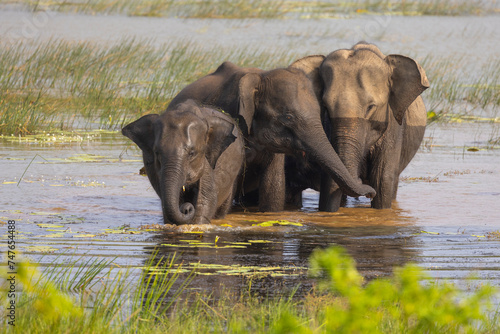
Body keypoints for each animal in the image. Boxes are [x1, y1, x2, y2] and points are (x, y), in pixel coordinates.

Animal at [292, 41, 430, 209]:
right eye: (325, 107)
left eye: (370, 107)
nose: (368, 192)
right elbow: (330, 181)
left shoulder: (394, 126)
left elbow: (382, 181)